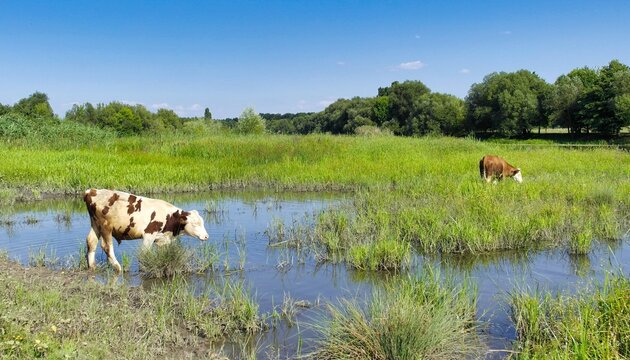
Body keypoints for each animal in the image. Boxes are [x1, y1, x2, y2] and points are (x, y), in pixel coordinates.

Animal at [80, 190, 210, 272]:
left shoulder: (162, 239)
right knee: (106, 246)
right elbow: (144, 253)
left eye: (202, 222)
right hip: (106, 226)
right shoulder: (149, 235)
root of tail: (92, 191)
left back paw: (92, 267)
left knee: (91, 241)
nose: (206, 236)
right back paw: (118, 267)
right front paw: (144, 269)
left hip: (95, 224)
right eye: (195, 224)